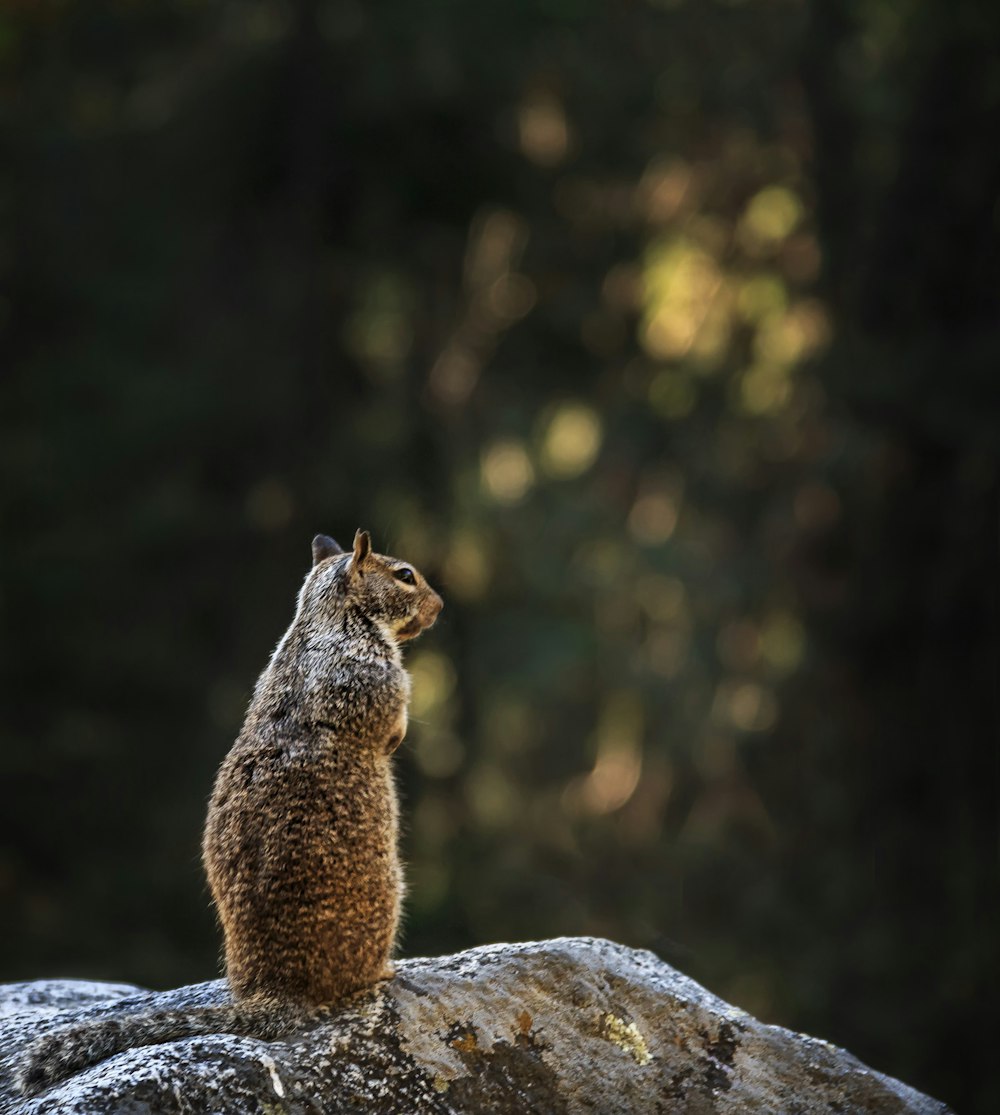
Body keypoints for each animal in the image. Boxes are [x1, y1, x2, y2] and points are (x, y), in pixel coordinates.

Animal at [17, 526, 441, 1092]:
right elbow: (392, 718)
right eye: (405, 575)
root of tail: (276, 988)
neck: (323, 619)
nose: (440, 606)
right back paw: (387, 971)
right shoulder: (375, 675)